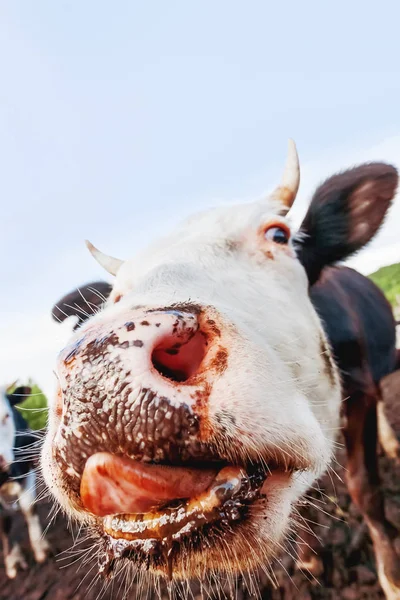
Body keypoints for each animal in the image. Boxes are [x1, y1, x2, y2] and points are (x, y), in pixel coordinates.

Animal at [0, 384, 50, 576]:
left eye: (6, 416)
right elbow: (4, 521)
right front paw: (13, 560)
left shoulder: (27, 467)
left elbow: (29, 508)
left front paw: (41, 548)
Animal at [41, 142, 400, 600]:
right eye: (116, 293)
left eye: (278, 235)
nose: (100, 373)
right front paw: (310, 557)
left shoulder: (362, 394)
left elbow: (364, 487)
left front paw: (391, 574)